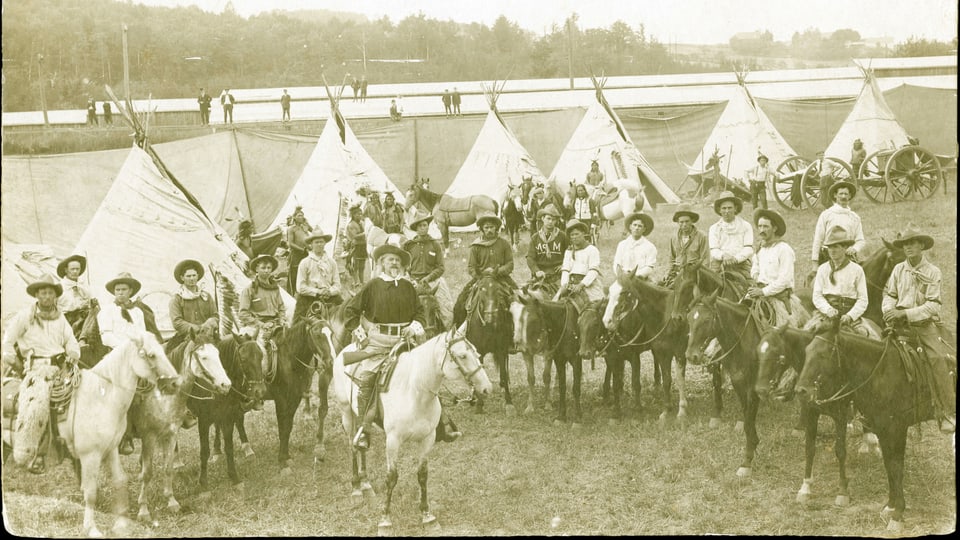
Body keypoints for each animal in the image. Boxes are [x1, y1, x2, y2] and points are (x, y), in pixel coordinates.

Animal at [13, 332, 181, 536]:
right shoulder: (90, 456)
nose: (175, 383)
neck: (101, 397)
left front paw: (121, 522)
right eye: (151, 355)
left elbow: (120, 480)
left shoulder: (112, 449)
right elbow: (90, 493)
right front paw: (91, 528)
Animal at [332, 326, 496, 532]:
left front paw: (427, 515)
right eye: (462, 356)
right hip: (346, 412)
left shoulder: (427, 439)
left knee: (361, 444)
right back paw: (356, 487)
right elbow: (391, 477)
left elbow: (422, 475)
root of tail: (346, 350)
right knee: (352, 446)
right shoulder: (393, 441)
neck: (415, 391)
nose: (487, 389)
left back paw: (366, 484)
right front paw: (385, 519)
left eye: (477, 353)